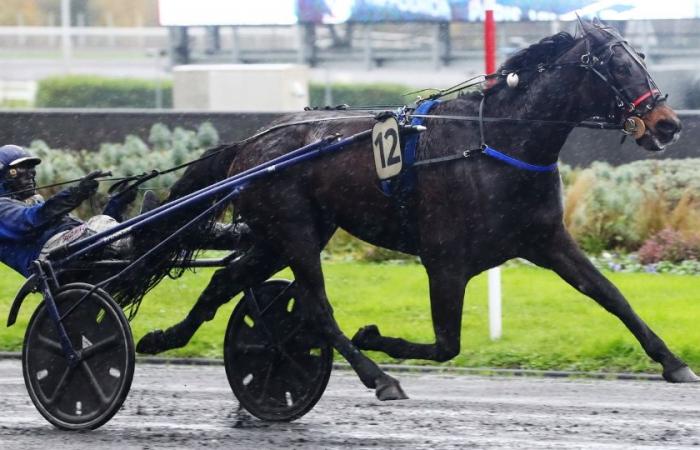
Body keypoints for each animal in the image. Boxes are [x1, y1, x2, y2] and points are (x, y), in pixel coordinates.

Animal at [134, 22, 696, 400]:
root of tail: (249, 144)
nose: (668, 124)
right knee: (316, 308)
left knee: (223, 281)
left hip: (283, 235)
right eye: (619, 66)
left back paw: (164, 337)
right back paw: (379, 377)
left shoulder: (547, 241)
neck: (497, 142)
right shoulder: (445, 261)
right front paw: (375, 337)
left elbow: (612, 296)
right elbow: (447, 344)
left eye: (643, 57)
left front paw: (674, 363)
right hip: (294, 232)